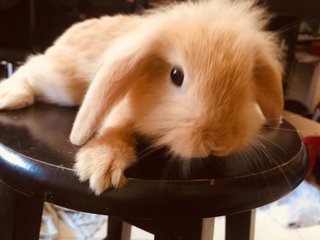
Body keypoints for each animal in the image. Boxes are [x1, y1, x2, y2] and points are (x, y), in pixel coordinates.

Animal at [0, 0, 284, 194]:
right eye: (176, 75)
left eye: (248, 77)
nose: (218, 142)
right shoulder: (122, 105)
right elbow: (115, 127)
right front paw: (101, 166)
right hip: (63, 82)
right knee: (31, 66)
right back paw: (10, 96)